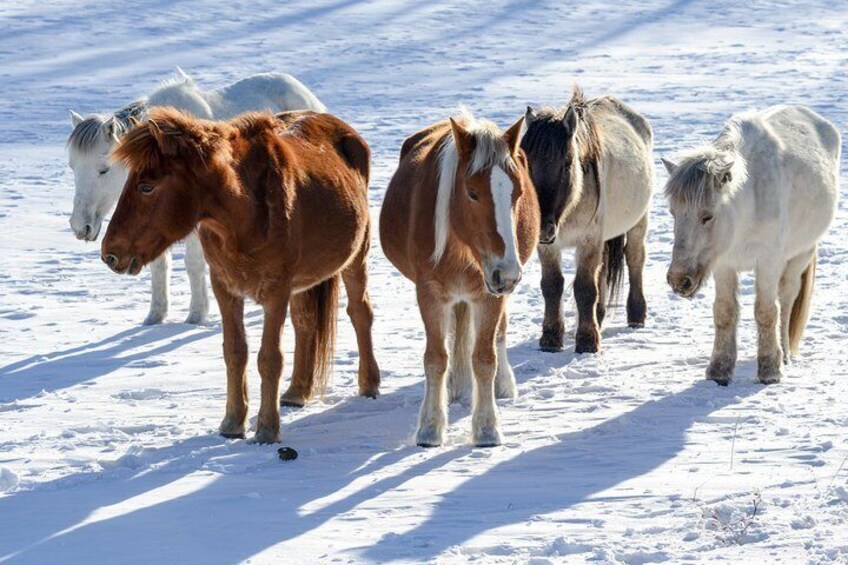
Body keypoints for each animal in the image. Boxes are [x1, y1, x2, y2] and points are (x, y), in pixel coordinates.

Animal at [101, 108, 380, 442]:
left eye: (146, 186)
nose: (109, 253)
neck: (247, 213)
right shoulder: (225, 288)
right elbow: (235, 352)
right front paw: (233, 423)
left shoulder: (276, 292)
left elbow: (269, 358)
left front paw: (267, 429)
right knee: (306, 323)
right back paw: (297, 392)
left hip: (356, 257)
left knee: (360, 313)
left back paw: (369, 384)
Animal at [380, 109, 540, 446]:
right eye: (472, 193)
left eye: (518, 193)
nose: (508, 272)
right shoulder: (429, 294)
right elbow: (436, 358)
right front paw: (430, 427)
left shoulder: (489, 295)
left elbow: (485, 359)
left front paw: (487, 427)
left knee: (500, 334)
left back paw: (502, 385)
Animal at [524, 86, 656, 352]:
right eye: (526, 163)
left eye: (567, 164)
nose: (542, 228)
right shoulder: (549, 246)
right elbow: (552, 285)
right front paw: (551, 338)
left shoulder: (588, 240)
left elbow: (585, 288)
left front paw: (587, 340)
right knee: (603, 268)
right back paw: (600, 315)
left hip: (638, 222)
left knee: (634, 259)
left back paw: (636, 315)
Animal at [664, 104, 840, 386]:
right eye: (673, 212)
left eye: (707, 216)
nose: (679, 280)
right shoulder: (723, 265)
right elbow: (724, 312)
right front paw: (719, 371)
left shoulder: (768, 262)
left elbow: (766, 311)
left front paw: (770, 370)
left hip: (801, 253)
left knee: (786, 298)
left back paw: (785, 354)